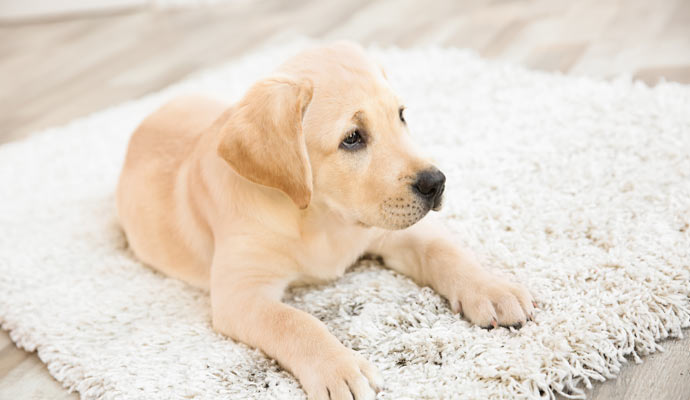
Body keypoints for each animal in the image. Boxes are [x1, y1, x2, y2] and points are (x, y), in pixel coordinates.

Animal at [117, 42, 532, 398]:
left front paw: (493, 289)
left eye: (401, 115)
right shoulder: (241, 293)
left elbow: (445, 252)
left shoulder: (396, 233)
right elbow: (295, 322)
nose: (436, 183)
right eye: (352, 138)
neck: (320, 217)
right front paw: (340, 368)